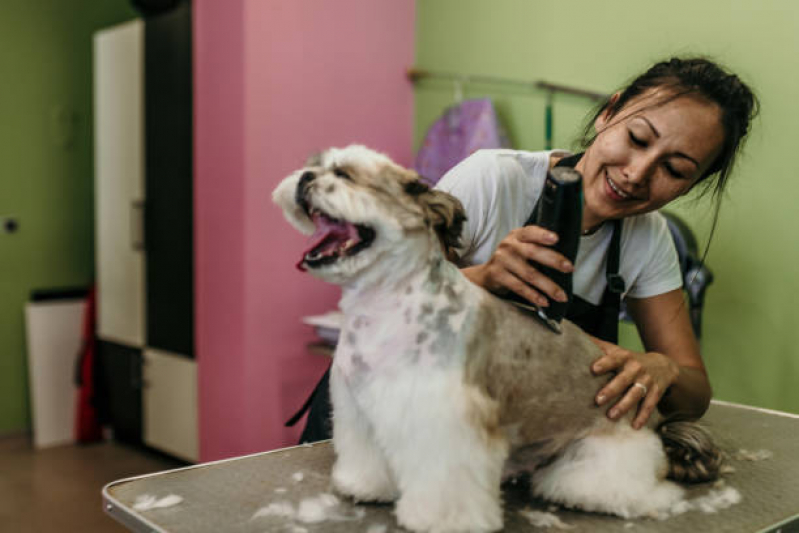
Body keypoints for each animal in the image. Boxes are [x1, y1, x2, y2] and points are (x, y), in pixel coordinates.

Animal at [272, 145, 720, 532]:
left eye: (345, 175)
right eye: (316, 166)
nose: (306, 178)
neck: (387, 303)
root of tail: (655, 424)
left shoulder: (445, 423)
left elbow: (446, 482)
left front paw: (442, 520)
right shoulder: (361, 410)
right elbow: (367, 458)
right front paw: (364, 486)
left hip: (604, 457)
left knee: (628, 488)